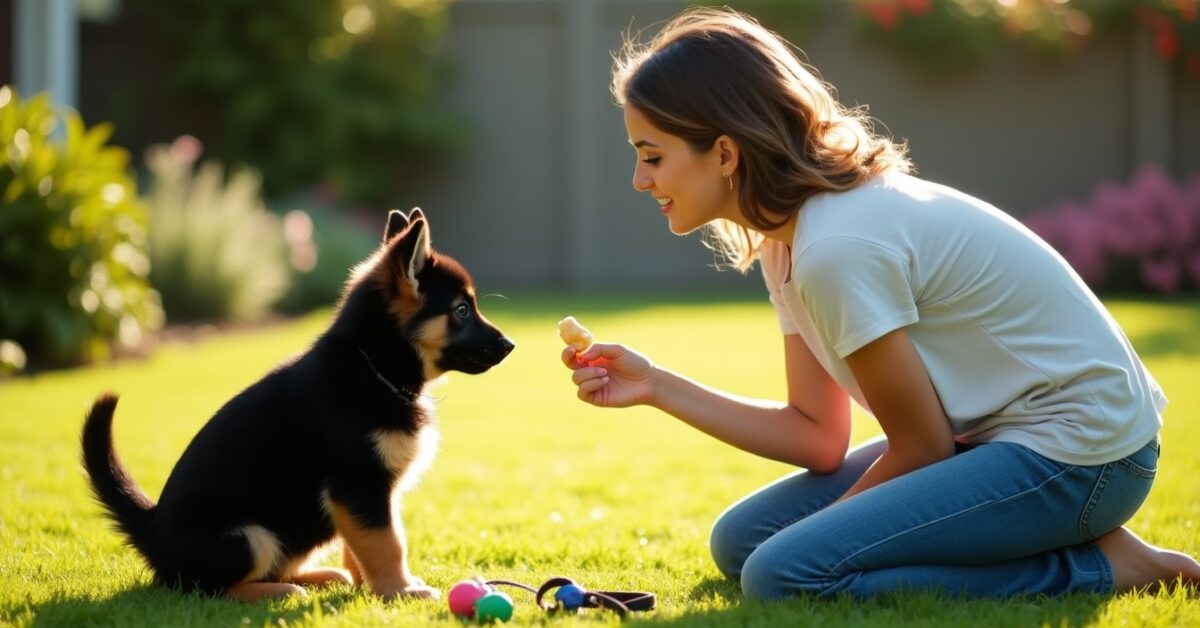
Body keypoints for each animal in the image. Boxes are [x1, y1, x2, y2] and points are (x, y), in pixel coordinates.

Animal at [79, 208, 511, 602]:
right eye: (461, 310)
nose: (510, 346)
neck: (372, 367)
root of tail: (150, 531)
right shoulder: (358, 485)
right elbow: (387, 543)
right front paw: (400, 590)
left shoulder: (367, 499)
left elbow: (365, 545)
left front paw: (372, 590)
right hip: (248, 536)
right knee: (204, 589)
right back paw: (277, 591)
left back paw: (319, 577)